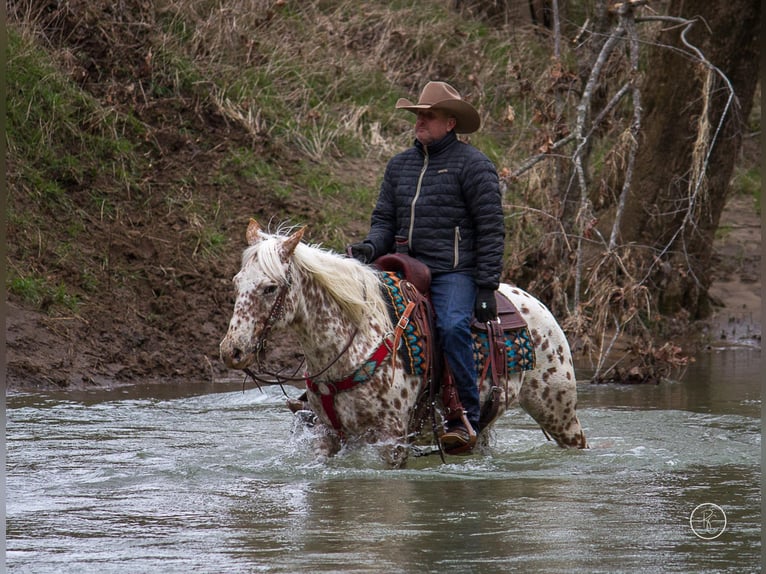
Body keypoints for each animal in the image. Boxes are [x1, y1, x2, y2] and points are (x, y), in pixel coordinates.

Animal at [219, 220, 592, 468]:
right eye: (237, 282)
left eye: (270, 287)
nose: (231, 350)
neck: (354, 342)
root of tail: (535, 303)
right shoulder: (327, 435)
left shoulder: (391, 439)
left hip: (560, 415)